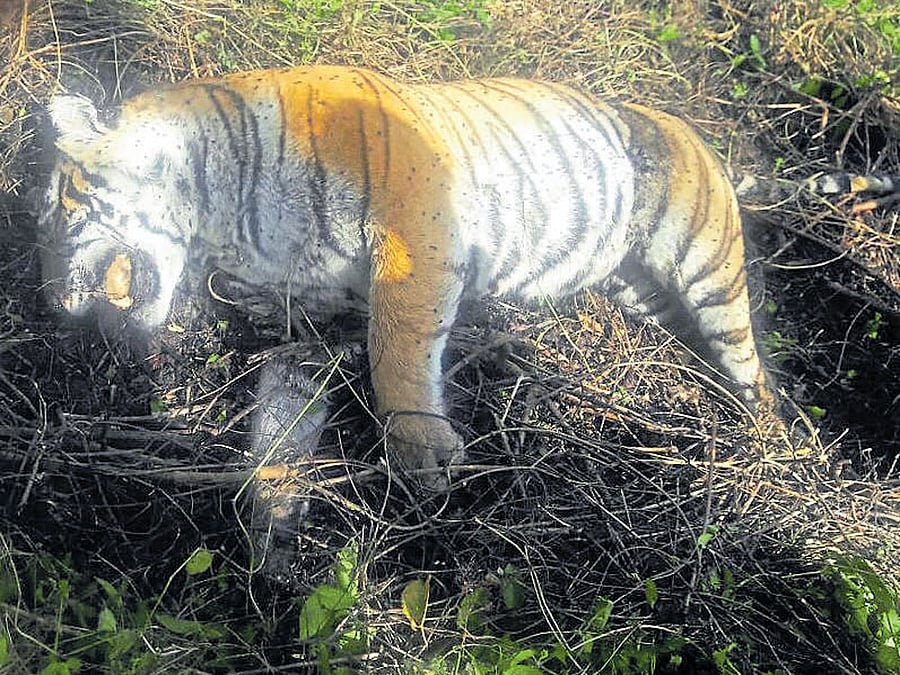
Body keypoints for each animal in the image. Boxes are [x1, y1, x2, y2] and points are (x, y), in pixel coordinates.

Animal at [39, 65, 777, 488]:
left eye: (53, 207)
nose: (53, 302)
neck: (228, 219)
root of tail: (695, 133)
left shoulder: (414, 221)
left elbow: (397, 340)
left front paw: (420, 448)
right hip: (641, 289)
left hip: (705, 264)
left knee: (751, 364)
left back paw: (773, 439)